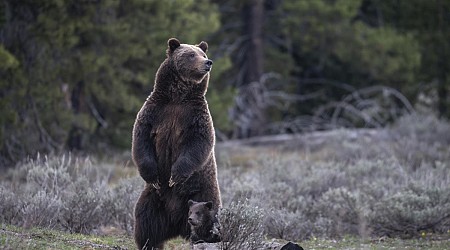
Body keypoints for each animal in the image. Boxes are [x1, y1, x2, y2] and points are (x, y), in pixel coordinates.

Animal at [131, 37, 222, 250]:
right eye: (191, 54)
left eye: (203, 54)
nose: (208, 62)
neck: (178, 97)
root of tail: (176, 223)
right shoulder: (155, 112)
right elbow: (141, 140)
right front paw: (154, 176)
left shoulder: (195, 116)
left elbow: (198, 143)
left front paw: (175, 176)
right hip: (154, 200)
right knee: (145, 222)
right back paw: (149, 244)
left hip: (205, 194)